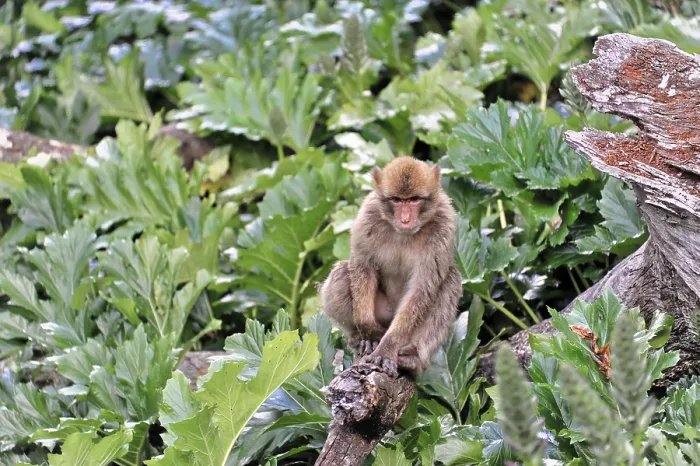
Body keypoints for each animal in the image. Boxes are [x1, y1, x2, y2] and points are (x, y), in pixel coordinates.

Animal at [320, 156, 463, 378]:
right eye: (397, 200)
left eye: (414, 200)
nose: (405, 219)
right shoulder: (367, 216)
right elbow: (362, 264)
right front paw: (369, 333)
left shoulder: (444, 224)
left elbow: (422, 288)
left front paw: (387, 349)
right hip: (382, 312)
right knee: (342, 272)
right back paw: (357, 337)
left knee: (450, 280)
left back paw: (412, 359)